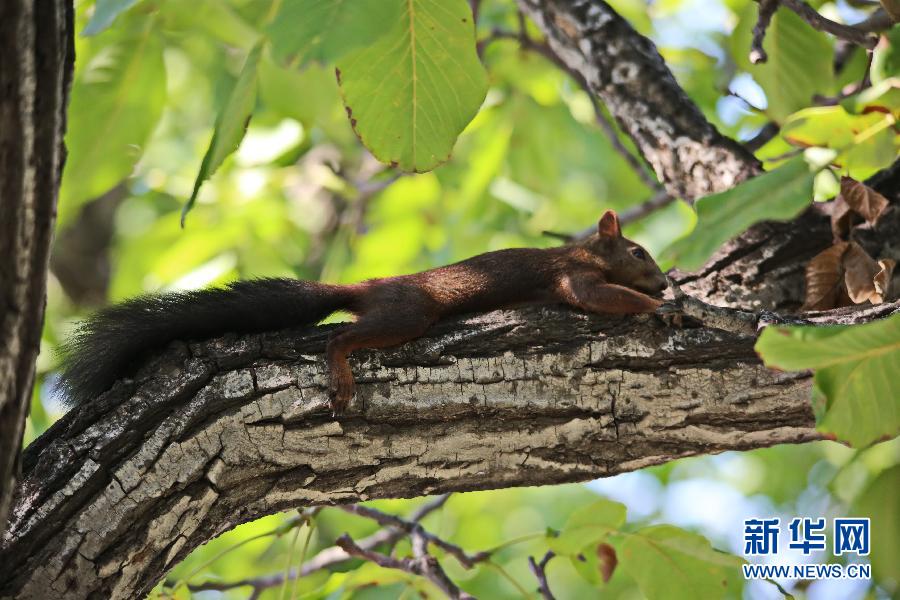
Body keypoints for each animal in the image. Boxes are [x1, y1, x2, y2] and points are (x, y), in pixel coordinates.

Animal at [59, 212, 672, 418]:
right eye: (639, 252)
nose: (666, 281)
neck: (587, 251)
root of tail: (368, 286)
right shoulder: (572, 273)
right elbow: (592, 297)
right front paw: (663, 308)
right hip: (409, 312)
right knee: (343, 339)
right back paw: (340, 372)